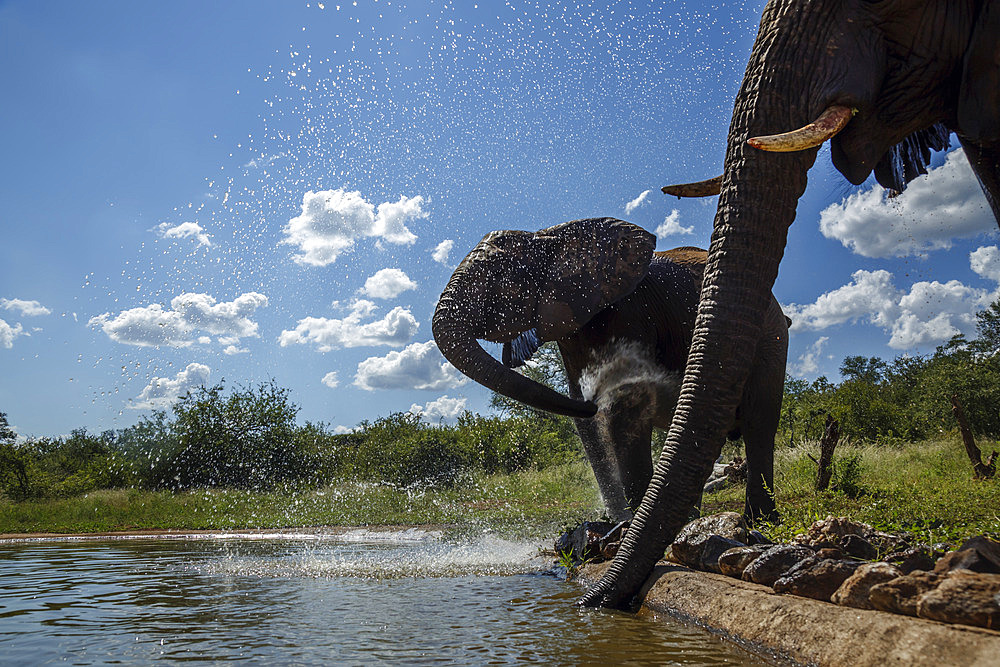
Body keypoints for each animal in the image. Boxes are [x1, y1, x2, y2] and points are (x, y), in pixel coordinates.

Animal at [430, 219, 788, 528]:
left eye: (499, 280)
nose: (594, 396)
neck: (549, 236)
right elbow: (587, 424)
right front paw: (619, 523)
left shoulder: (629, 314)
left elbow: (624, 408)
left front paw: (628, 526)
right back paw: (690, 521)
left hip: (769, 338)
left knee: (759, 422)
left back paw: (759, 523)